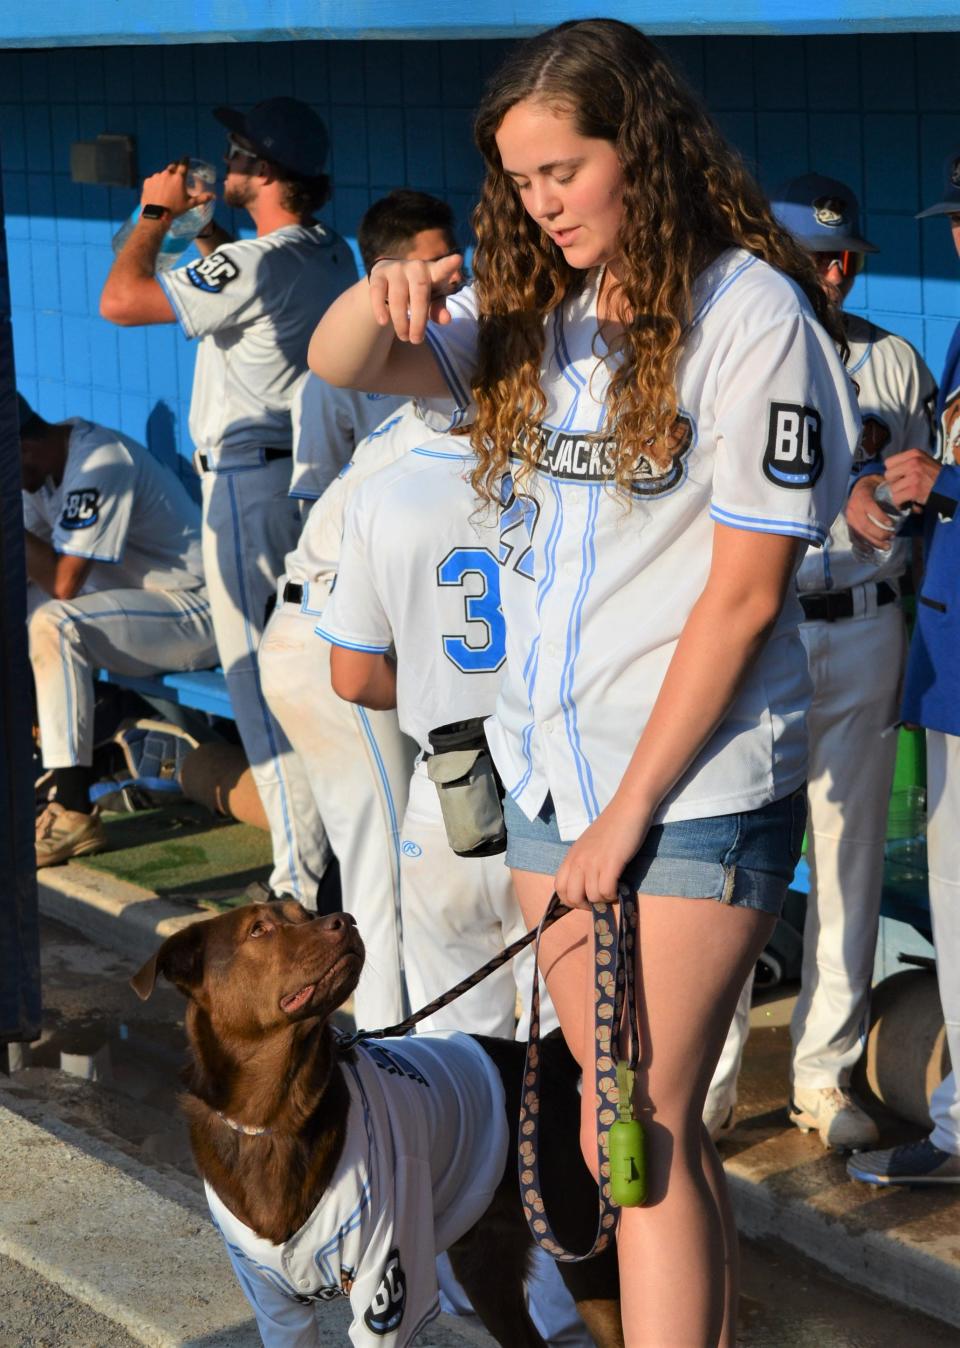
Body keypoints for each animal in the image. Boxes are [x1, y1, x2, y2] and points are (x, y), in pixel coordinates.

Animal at [131, 900, 622, 1342]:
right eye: (258, 929)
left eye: (305, 913)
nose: (344, 919)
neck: (277, 1116)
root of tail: (543, 1058)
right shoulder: (273, 1303)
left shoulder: (386, 1283)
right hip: (486, 1265)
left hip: (580, 1248)